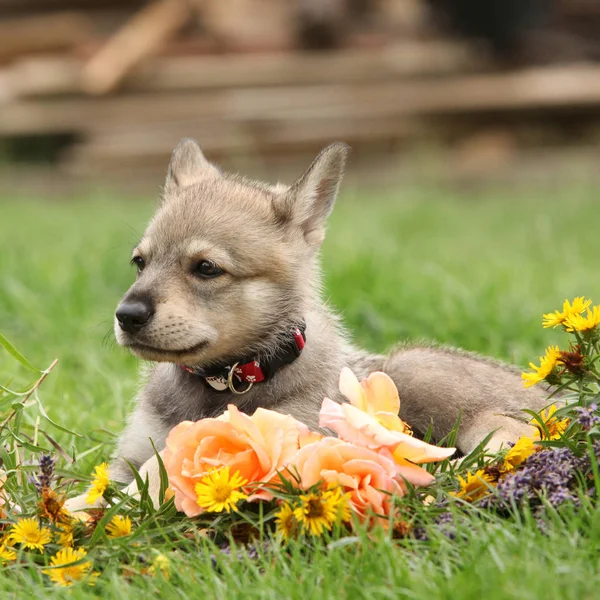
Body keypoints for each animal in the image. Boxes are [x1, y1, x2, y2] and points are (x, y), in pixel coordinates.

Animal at [96, 139, 548, 492]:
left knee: (511, 430)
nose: (127, 315)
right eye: (140, 263)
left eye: (206, 268)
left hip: (415, 367)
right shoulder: (130, 454)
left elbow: (157, 472)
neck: (221, 385)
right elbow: (110, 484)